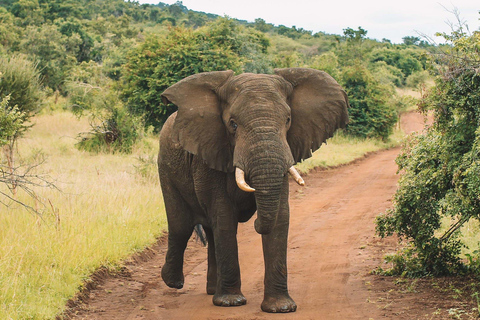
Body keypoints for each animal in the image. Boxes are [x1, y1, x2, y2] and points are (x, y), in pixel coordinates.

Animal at [158, 67, 348, 312]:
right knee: (181, 225)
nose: (255, 221)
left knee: (209, 230)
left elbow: (280, 217)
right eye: (233, 124)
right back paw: (173, 282)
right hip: (165, 166)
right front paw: (231, 303)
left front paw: (281, 307)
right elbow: (224, 216)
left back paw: (211, 290)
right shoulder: (211, 152)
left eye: (288, 120)